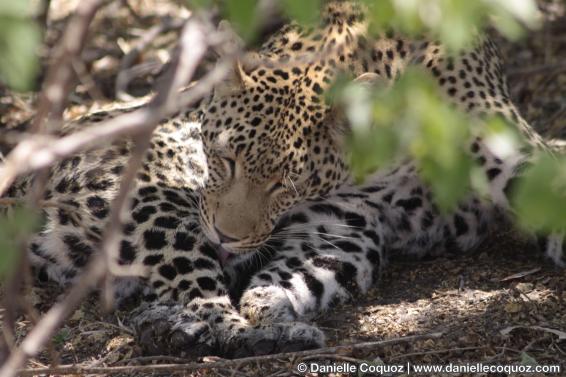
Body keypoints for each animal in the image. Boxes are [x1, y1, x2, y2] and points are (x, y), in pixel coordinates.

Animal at [2, 0, 564, 358]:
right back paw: (214, 333)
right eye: (223, 158)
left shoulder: (338, 222)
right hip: (145, 191)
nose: (226, 236)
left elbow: (300, 274)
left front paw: (271, 306)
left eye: (283, 185)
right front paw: (265, 318)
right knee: (202, 298)